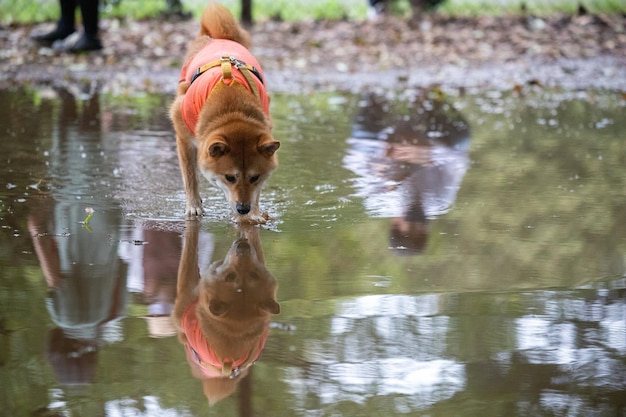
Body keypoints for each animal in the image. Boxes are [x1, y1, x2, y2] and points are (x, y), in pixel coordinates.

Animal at [169, 2, 280, 221]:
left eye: (255, 177)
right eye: (230, 177)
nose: (243, 208)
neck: (232, 108)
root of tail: (219, 37)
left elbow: (257, 193)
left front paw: (254, 214)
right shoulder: (183, 135)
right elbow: (190, 176)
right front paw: (193, 206)